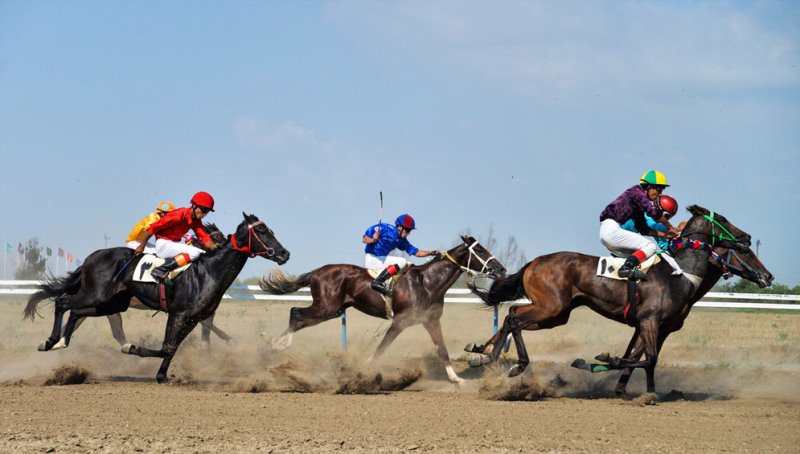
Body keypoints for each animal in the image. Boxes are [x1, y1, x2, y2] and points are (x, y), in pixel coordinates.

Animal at [23, 213, 290, 384]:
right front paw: (135, 349)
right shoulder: (178, 313)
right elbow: (166, 347)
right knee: (63, 303)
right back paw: (51, 341)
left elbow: (171, 348)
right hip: (96, 295)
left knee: (77, 312)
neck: (208, 271)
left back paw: (61, 342)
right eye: (263, 231)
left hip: (109, 303)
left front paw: (161, 375)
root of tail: (90, 258)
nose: (284, 253)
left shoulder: (193, 318)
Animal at [260, 236, 504, 384]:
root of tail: (317, 271)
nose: (501, 269)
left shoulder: (431, 321)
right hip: (326, 307)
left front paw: (456, 379)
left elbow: (442, 349)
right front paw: (363, 369)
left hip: (333, 309)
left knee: (298, 316)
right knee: (295, 312)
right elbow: (382, 347)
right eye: (480, 249)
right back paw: (275, 345)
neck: (427, 282)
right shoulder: (400, 321)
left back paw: (275, 345)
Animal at [466, 206, 772, 394]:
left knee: (511, 315)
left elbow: (641, 358)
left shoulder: (657, 327)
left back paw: (486, 356)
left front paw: (641, 391)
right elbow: (646, 358)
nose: (768, 276)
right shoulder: (649, 321)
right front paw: (601, 361)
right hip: (550, 307)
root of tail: (534, 262)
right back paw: (512, 363)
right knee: (514, 318)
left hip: (556, 314)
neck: (680, 275)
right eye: (723, 220)